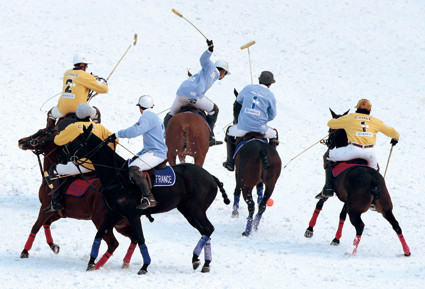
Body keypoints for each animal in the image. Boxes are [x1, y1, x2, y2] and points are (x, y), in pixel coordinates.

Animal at [17, 125, 137, 268]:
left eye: (41, 132)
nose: (21, 141)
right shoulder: (59, 212)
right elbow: (46, 224)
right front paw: (53, 246)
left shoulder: (45, 207)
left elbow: (35, 227)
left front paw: (25, 251)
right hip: (121, 224)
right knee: (135, 238)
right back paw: (125, 262)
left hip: (100, 220)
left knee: (113, 243)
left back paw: (95, 265)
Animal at [65, 125, 229, 274]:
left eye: (79, 141)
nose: (63, 153)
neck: (117, 176)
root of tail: (211, 177)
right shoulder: (114, 214)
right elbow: (99, 234)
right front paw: (91, 263)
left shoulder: (133, 214)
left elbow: (140, 238)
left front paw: (144, 266)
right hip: (187, 211)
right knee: (204, 231)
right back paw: (202, 262)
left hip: (196, 209)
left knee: (208, 228)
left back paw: (199, 259)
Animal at [304, 107, 410, 254]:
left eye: (331, 129)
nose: (329, 142)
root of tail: (373, 182)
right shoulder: (347, 199)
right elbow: (341, 215)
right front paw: (336, 239)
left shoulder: (334, 190)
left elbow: (320, 202)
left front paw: (309, 230)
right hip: (385, 207)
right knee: (396, 225)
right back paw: (407, 251)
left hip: (355, 209)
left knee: (360, 226)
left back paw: (353, 251)